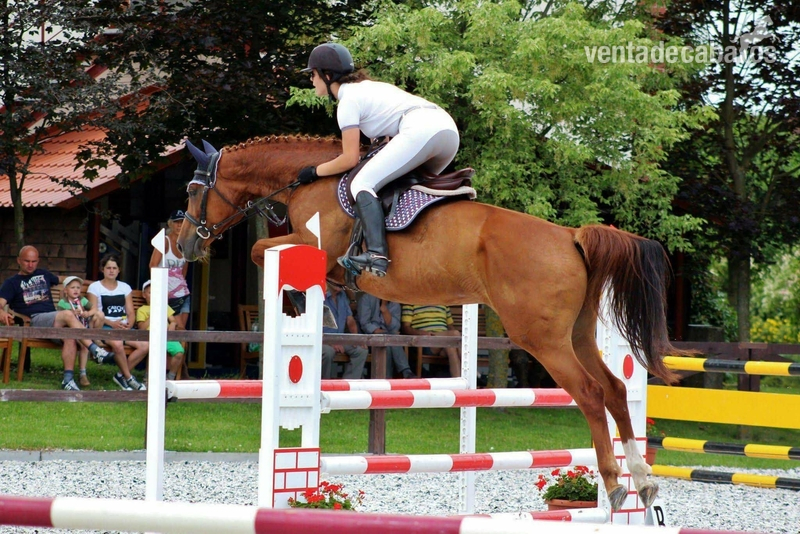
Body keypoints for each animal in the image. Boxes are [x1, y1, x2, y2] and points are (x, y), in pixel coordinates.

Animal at [176, 134, 685, 511]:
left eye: (192, 191)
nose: (183, 244)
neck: (310, 180)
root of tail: (570, 236)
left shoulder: (311, 242)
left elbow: (260, 250)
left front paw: (305, 302)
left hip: (543, 340)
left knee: (592, 394)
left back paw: (615, 482)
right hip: (576, 335)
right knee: (615, 390)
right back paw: (642, 480)